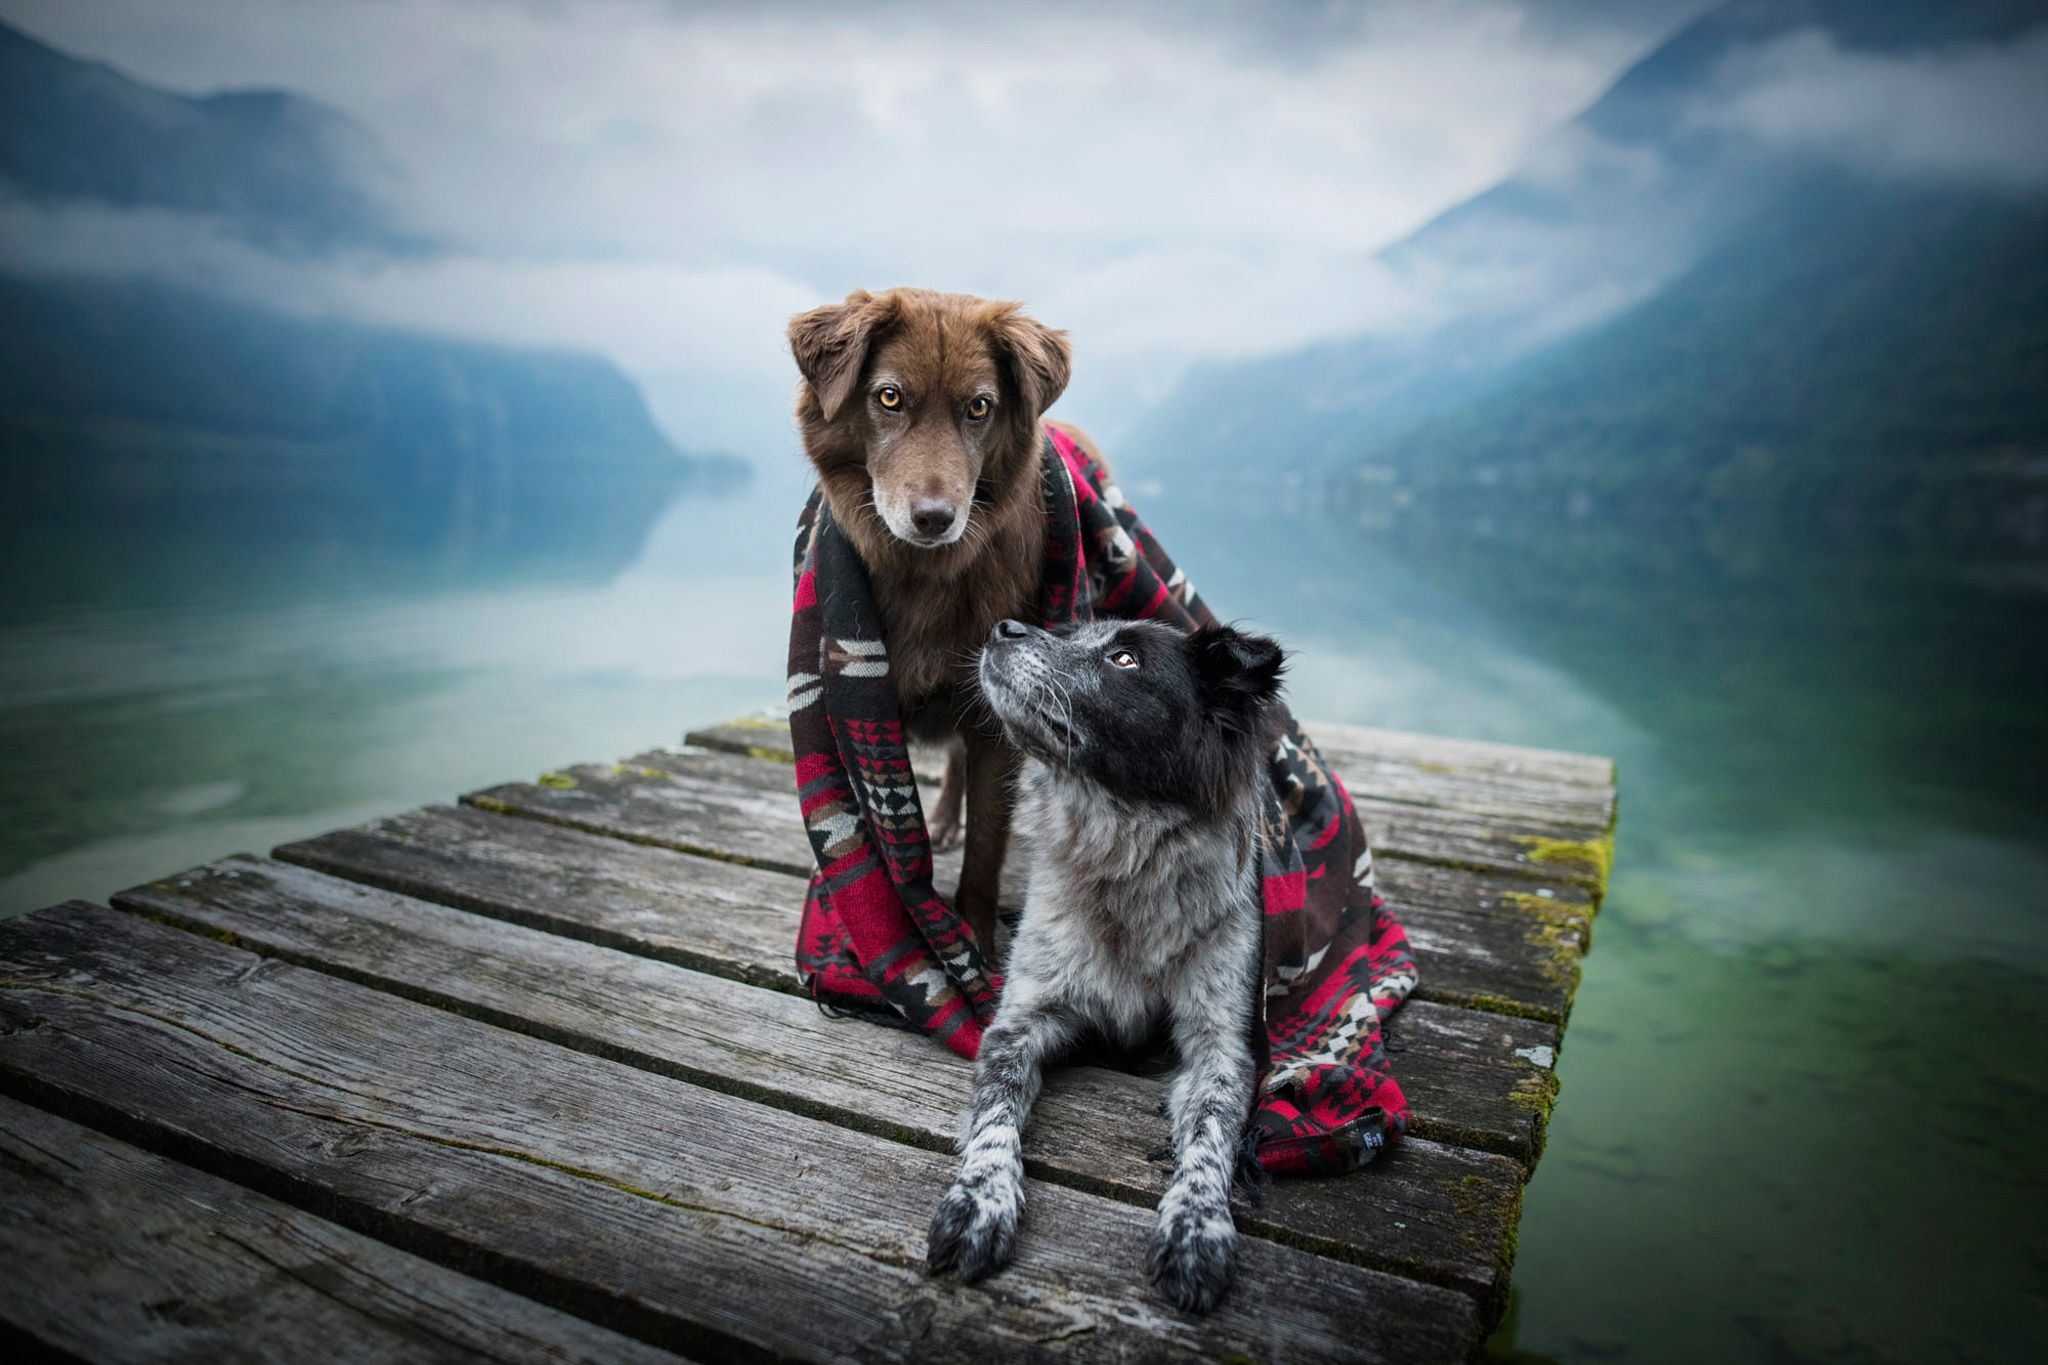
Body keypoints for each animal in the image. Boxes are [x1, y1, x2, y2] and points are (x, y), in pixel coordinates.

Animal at [786, 286, 1105, 961]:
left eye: (979, 408)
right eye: (889, 397)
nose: (934, 517)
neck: (926, 576)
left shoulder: (995, 716)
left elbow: (987, 842)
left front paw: (975, 942)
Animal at [929, 618, 1277, 1309]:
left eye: (1123, 659)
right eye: (1076, 633)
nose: (1005, 626)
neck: (1126, 862)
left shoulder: (1221, 1045)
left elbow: (1212, 1138)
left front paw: (1197, 1228)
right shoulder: (1021, 1019)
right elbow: (995, 1117)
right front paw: (980, 1200)